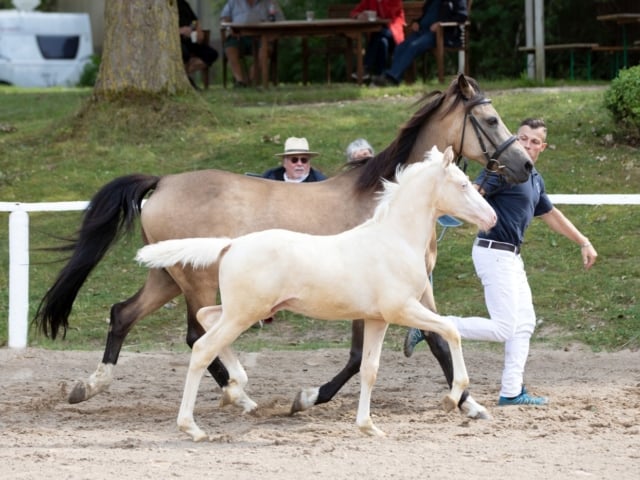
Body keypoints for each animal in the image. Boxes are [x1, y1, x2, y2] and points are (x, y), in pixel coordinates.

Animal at [136, 147, 496, 442]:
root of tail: (230, 244)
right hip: (244, 312)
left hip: (242, 310)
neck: (394, 239)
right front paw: (452, 399)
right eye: (463, 185)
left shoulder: (377, 319)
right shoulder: (402, 309)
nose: (491, 217)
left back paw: (236, 387)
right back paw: (193, 426)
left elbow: (370, 369)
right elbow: (450, 330)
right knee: (202, 347)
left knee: (206, 319)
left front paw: (368, 426)